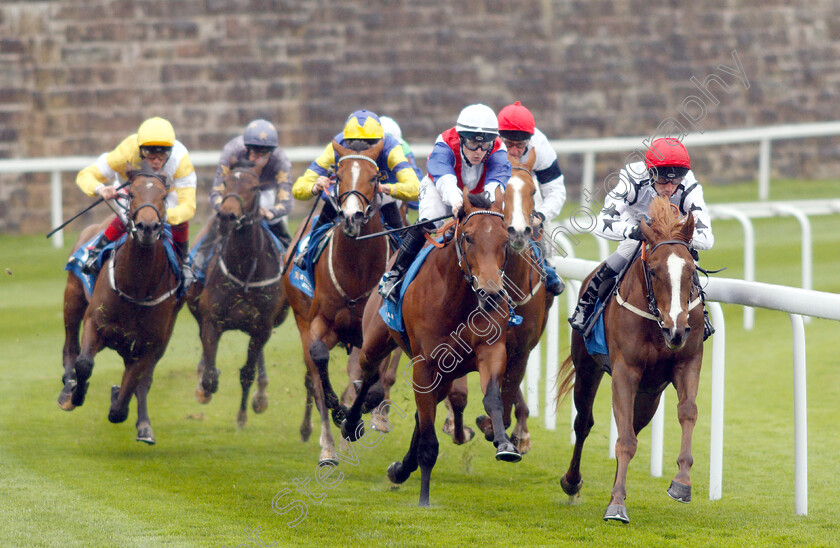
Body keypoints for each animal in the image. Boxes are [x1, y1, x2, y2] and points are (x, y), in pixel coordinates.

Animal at [59, 168, 184, 446]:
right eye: (132, 193)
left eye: (164, 196)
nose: (147, 227)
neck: (136, 286)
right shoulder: (94, 322)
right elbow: (84, 364)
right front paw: (77, 394)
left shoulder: (147, 345)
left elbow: (124, 401)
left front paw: (118, 398)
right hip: (73, 296)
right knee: (70, 348)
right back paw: (67, 388)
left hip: (163, 339)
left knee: (143, 381)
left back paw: (144, 426)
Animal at [189, 158, 290, 428]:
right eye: (225, 183)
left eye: (255, 187)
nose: (227, 215)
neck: (244, 270)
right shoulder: (212, 320)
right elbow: (211, 375)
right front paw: (204, 387)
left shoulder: (262, 325)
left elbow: (247, 372)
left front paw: (243, 414)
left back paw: (261, 395)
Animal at [278, 139, 390, 464]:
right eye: (337, 176)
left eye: (375, 177)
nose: (352, 217)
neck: (356, 271)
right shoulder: (320, 324)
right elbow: (319, 361)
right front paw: (341, 414)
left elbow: (373, 383)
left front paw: (358, 415)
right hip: (302, 319)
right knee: (314, 378)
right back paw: (328, 447)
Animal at [344, 188, 516, 506]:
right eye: (468, 237)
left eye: (505, 240)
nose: (491, 294)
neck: (458, 301)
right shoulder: (424, 364)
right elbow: (427, 438)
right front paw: (424, 498)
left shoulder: (491, 351)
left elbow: (492, 399)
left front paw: (505, 445)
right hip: (375, 340)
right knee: (369, 377)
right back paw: (350, 425)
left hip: (446, 375)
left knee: (421, 412)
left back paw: (401, 468)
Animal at [560, 196, 704, 524]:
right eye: (654, 270)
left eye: (690, 269)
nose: (676, 329)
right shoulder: (625, 370)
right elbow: (623, 439)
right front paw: (616, 505)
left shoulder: (687, 362)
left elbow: (687, 412)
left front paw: (681, 483)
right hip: (587, 367)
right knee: (584, 422)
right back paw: (572, 482)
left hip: (650, 393)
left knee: (634, 427)